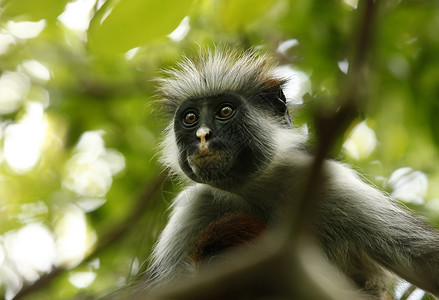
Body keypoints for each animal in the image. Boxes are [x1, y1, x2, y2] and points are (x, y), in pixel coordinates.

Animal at [147, 48, 439, 298]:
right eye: (191, 118)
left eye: (225, 111)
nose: (202, 135)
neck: (254, 192)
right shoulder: (194, 210)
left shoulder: (327, 185)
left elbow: (427, 261)